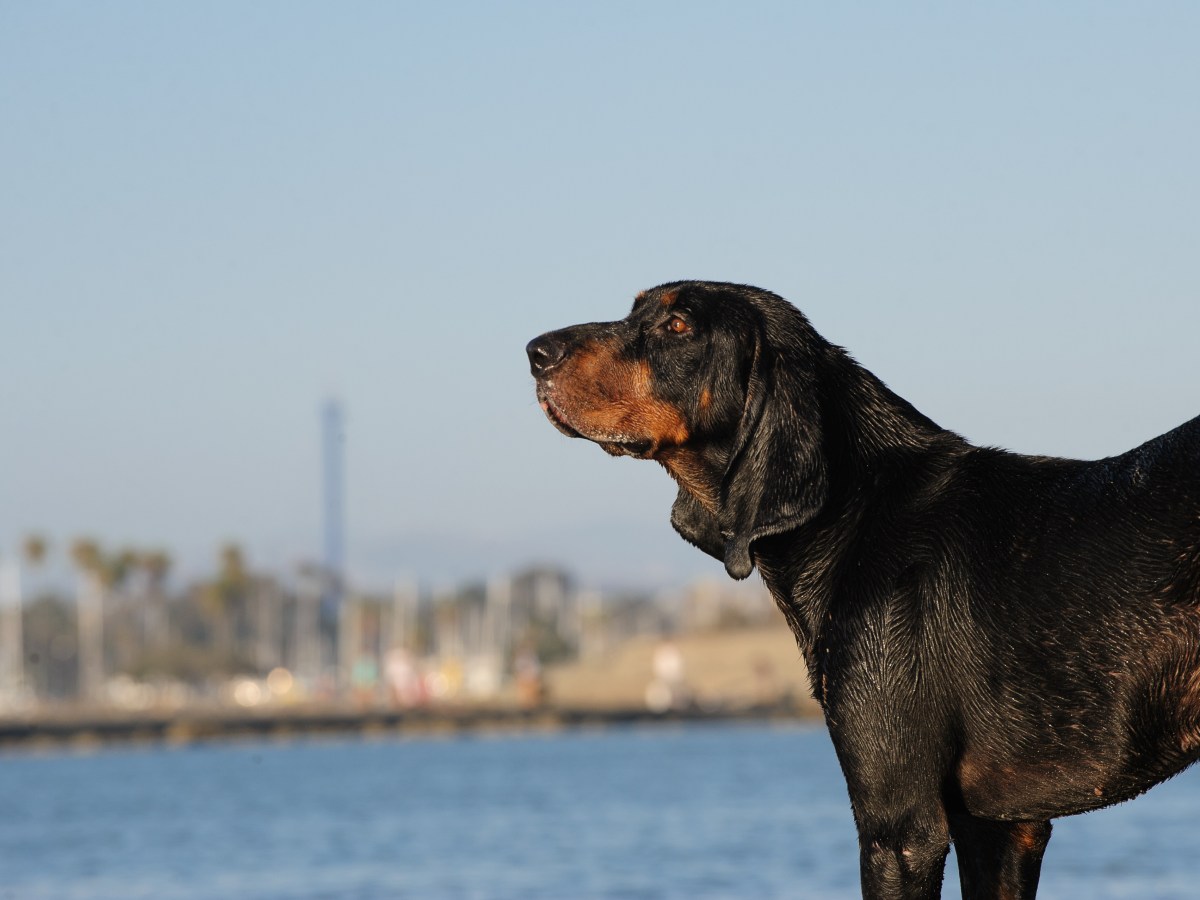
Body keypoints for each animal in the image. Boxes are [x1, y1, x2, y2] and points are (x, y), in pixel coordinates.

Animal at [525, 278, 1200, 897]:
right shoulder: (1002, 828)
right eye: (636, 309)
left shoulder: (899, 826)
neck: (857, 511)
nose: (534, 351)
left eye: (678, 325)